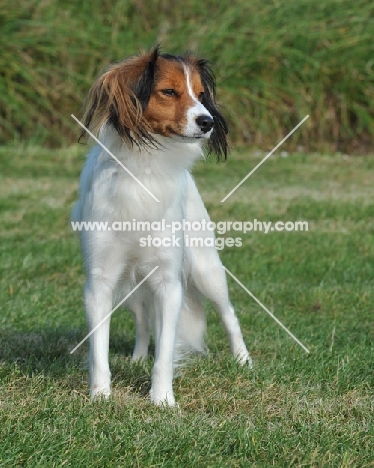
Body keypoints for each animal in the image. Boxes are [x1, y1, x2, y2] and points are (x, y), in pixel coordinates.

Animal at [72, 46, 251, 406]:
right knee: (143, 321)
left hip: (206, 269)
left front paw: (163, 399)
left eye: (201, 95)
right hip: (131, 287)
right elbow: (99, 350)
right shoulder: (100, 282)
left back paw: (243, 360)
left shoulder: (169, 283)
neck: (145, 168)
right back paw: (138, 356)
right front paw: (100, 396)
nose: (208, 121)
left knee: (229, 314)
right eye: (168, 92)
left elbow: (166, 351)